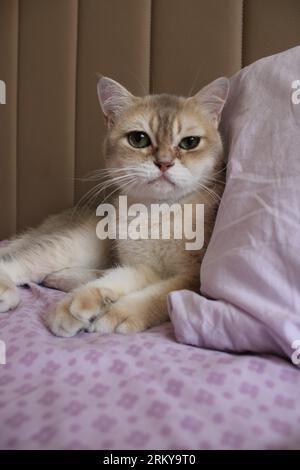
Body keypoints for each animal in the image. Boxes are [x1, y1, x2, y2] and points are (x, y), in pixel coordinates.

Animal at [0, 75, 229, 336]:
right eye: (138, 139)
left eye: (190, 142)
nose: (164, 163)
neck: (156, 212)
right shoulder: (143, 264)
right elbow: (129, 278)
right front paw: (84, 302)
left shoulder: (191, 277)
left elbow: (158, 295)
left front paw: (114, 310)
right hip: (80, 241)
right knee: (20, 260)